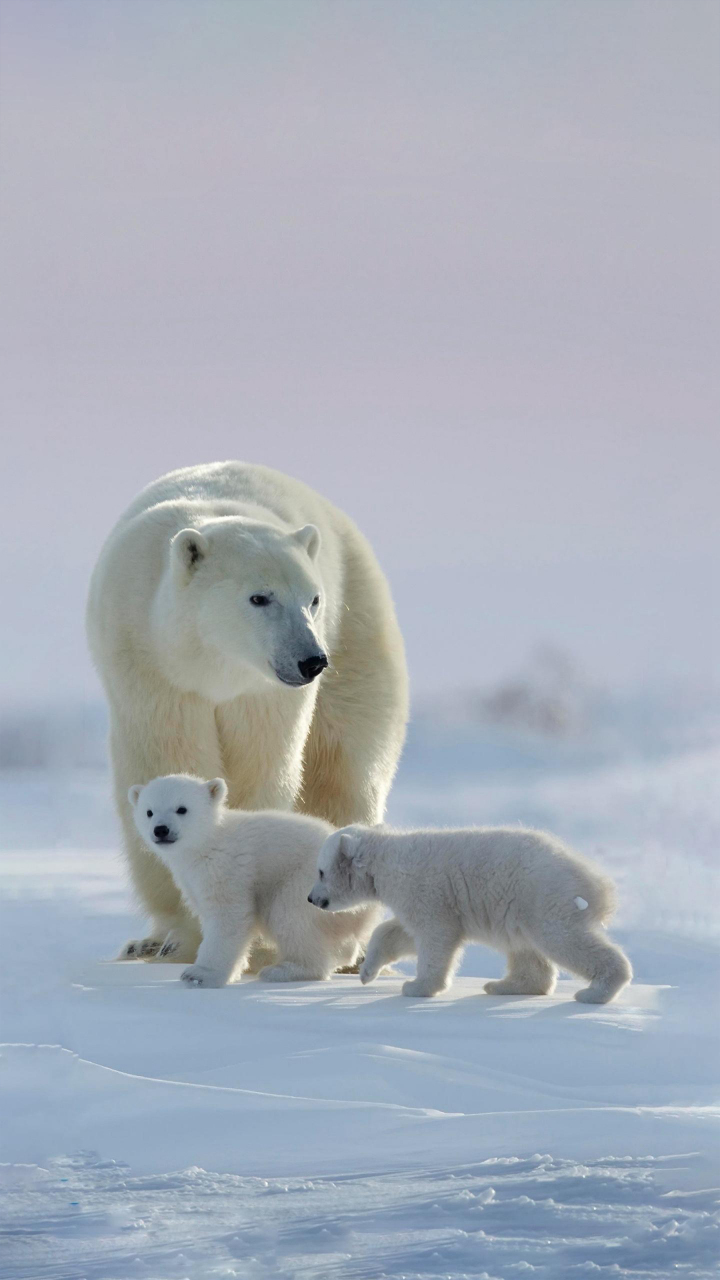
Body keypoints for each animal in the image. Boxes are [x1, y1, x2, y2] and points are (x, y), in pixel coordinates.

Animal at [87, 460, 407, 962]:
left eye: (312, 598)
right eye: (260, 597)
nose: (311, 660)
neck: (211, 664)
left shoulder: (262, 694)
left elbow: (263, 770)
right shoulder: (149, 664)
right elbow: (167, 757)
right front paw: (181, 935)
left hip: (359, 626)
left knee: (345, 769)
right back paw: (148, 943)